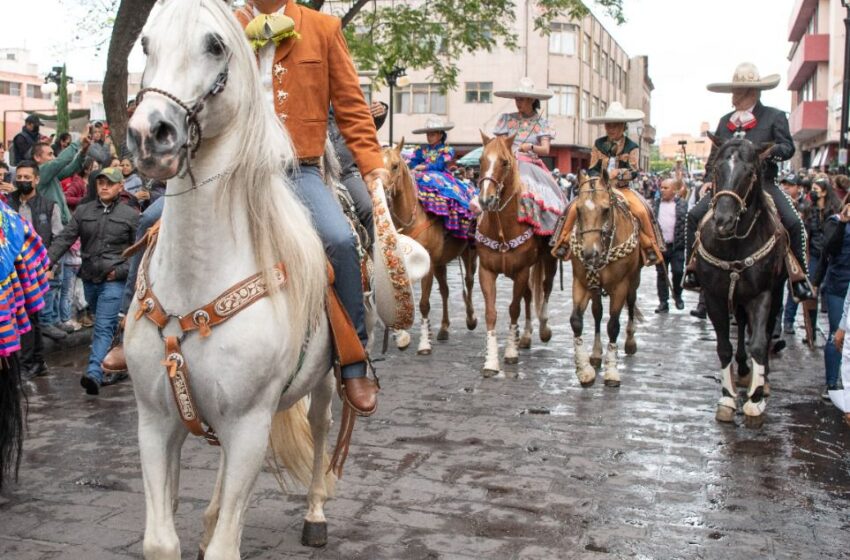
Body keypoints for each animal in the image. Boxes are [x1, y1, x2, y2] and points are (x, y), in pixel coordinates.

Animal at [124, 2, 340, 556]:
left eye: (215, 45)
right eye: (146, 44)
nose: (149, 134)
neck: (195, 284)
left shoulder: (249, 425)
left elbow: (227, 545)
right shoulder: (155, 421)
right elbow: (161, 541)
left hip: (325, 383)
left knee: (321, 428)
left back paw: (316, 514)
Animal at [382, 142, 476, 356]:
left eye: (395, 166)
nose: (380, 189)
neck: (413, 217)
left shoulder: (429, 264)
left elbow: (424, 304)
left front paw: (424, 344)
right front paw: (401, 335)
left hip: (468, 252)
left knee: (469, 282)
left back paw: (471, 319)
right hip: (442, 262)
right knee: (445, 291)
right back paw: (443, 328)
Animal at [476, 131, 556, 376]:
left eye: (504, 162)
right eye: (481, 160)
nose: (486, 200)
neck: (503, 228)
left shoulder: (521, 271)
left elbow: (513, 308)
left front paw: (511, 351)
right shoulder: (486, 271)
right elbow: (491, 313)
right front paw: (491, 362)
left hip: (548, 260)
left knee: (545, 288)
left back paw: (543, 329)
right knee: (529, 295)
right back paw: (526, 336)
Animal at [568, 172, 640, 390]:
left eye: (606, 210)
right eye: (578, 210)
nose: (590, 254)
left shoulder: (621, 286)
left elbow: (613, 325)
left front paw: (612, 372)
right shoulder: (581, 282)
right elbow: (576, 321)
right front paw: (584, 371)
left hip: (634, 280)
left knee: (631, 303)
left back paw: (630, 341)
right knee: (597, 312)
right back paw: (596, 354)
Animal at [692, 137, 784, 424]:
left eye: (750, 173)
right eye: (715, 169)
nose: (723, 221)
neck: (734, 245)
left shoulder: (762, 294)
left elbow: (759, 343)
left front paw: (755, 399)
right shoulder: (715, 296)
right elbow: (724, 347)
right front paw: (727, 398)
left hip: (776, 293)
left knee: (764, 332)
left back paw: (761, 379)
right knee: (742, 326)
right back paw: (742, 370)